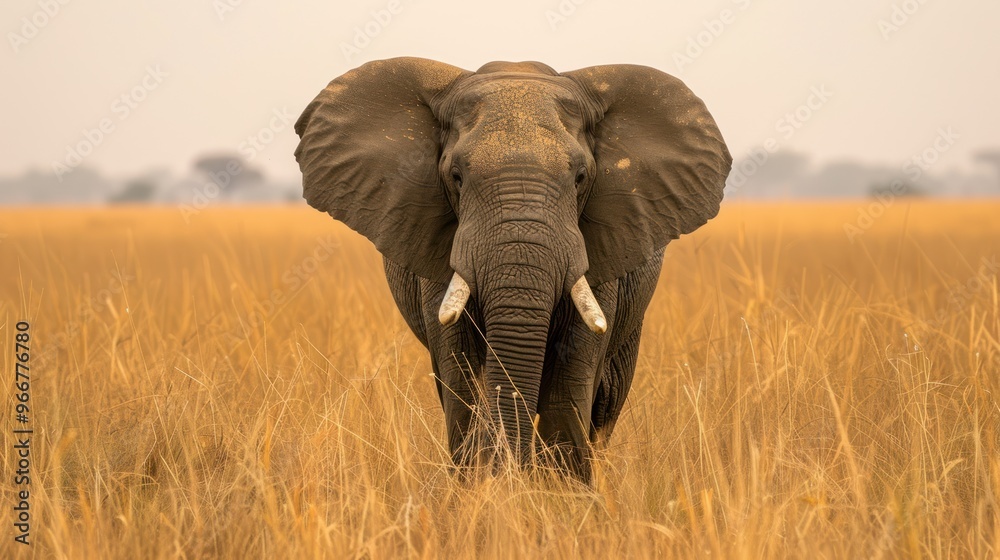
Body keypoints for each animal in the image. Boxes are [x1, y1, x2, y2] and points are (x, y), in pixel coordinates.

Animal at [294, 58, 731, 482]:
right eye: (456, 177)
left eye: (580, 178)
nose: (512, 474)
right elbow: (463, 381)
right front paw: (485, 489)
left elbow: (569, 386)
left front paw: (556, 496)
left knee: (605, 405)